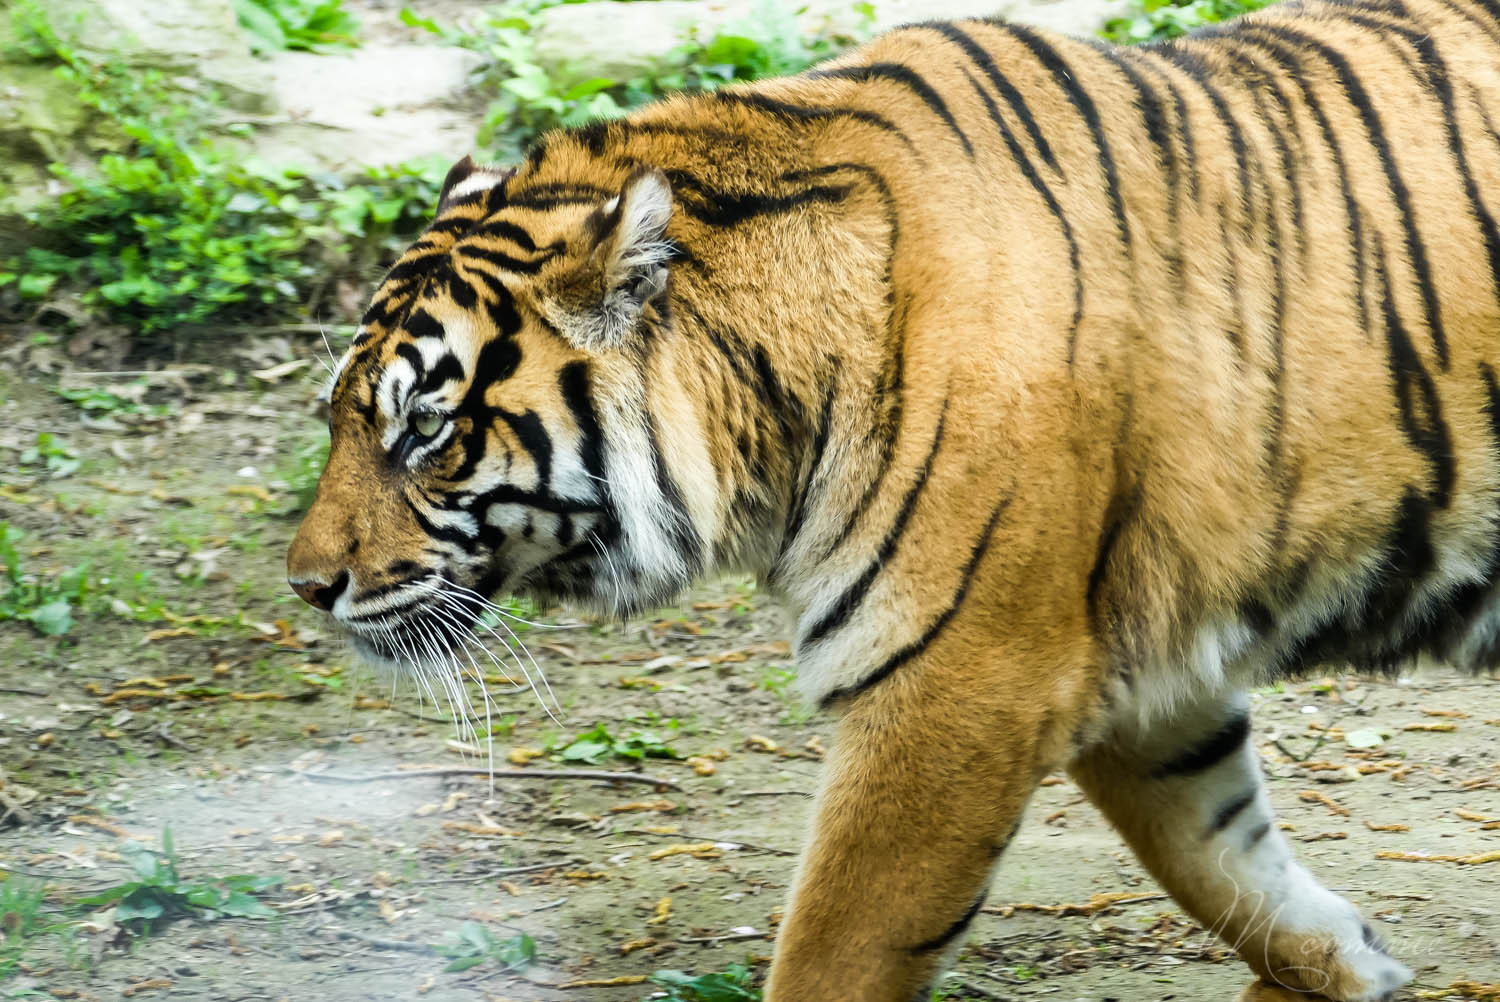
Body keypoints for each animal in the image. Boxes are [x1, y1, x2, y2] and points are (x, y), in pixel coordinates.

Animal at [283, 0, 1500, 996]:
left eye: (424, 429)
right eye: (342, 418)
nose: (306, 586)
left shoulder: (961, 680)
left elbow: (840, 946)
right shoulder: (1147, 671)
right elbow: (1214, 849)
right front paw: (1346, 962)